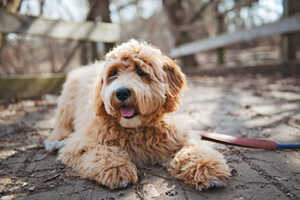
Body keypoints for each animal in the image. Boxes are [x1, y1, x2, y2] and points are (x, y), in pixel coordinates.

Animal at [44, 39, 230, 191]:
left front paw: (206, 167)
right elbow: (99, 151)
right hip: (66, 106)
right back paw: (55, 141)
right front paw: (117, 168)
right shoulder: (81, 142)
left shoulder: (177, 137)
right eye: (113, 73)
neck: (136, 129)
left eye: (141, 71)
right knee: (61, 125)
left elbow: (192, 149)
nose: (121, 92)